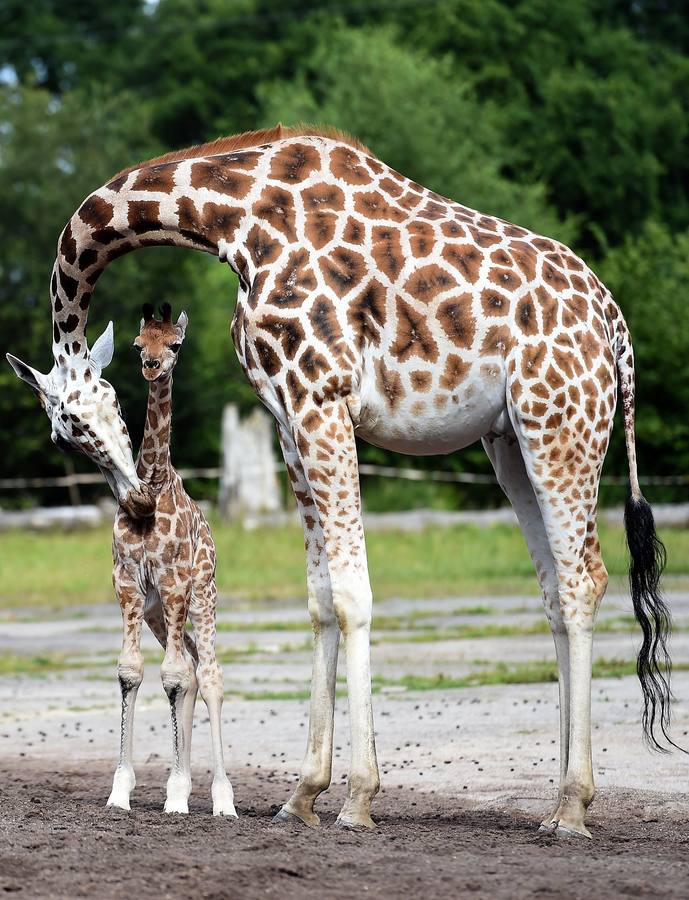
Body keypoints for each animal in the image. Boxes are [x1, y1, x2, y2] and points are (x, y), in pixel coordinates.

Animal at [106, 302, 236, 816]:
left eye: (176, 345)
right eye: (138, 344)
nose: (152, 366)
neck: (152, 482)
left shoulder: (176, 580)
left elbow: (174, 676)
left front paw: (179, 797)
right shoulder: (129, 581)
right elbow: (134, 671)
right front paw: (121, 791)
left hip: (202, 595)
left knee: (211, 675)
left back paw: (222, 798)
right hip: (160, 613)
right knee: (194, 671)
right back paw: (183, 782)